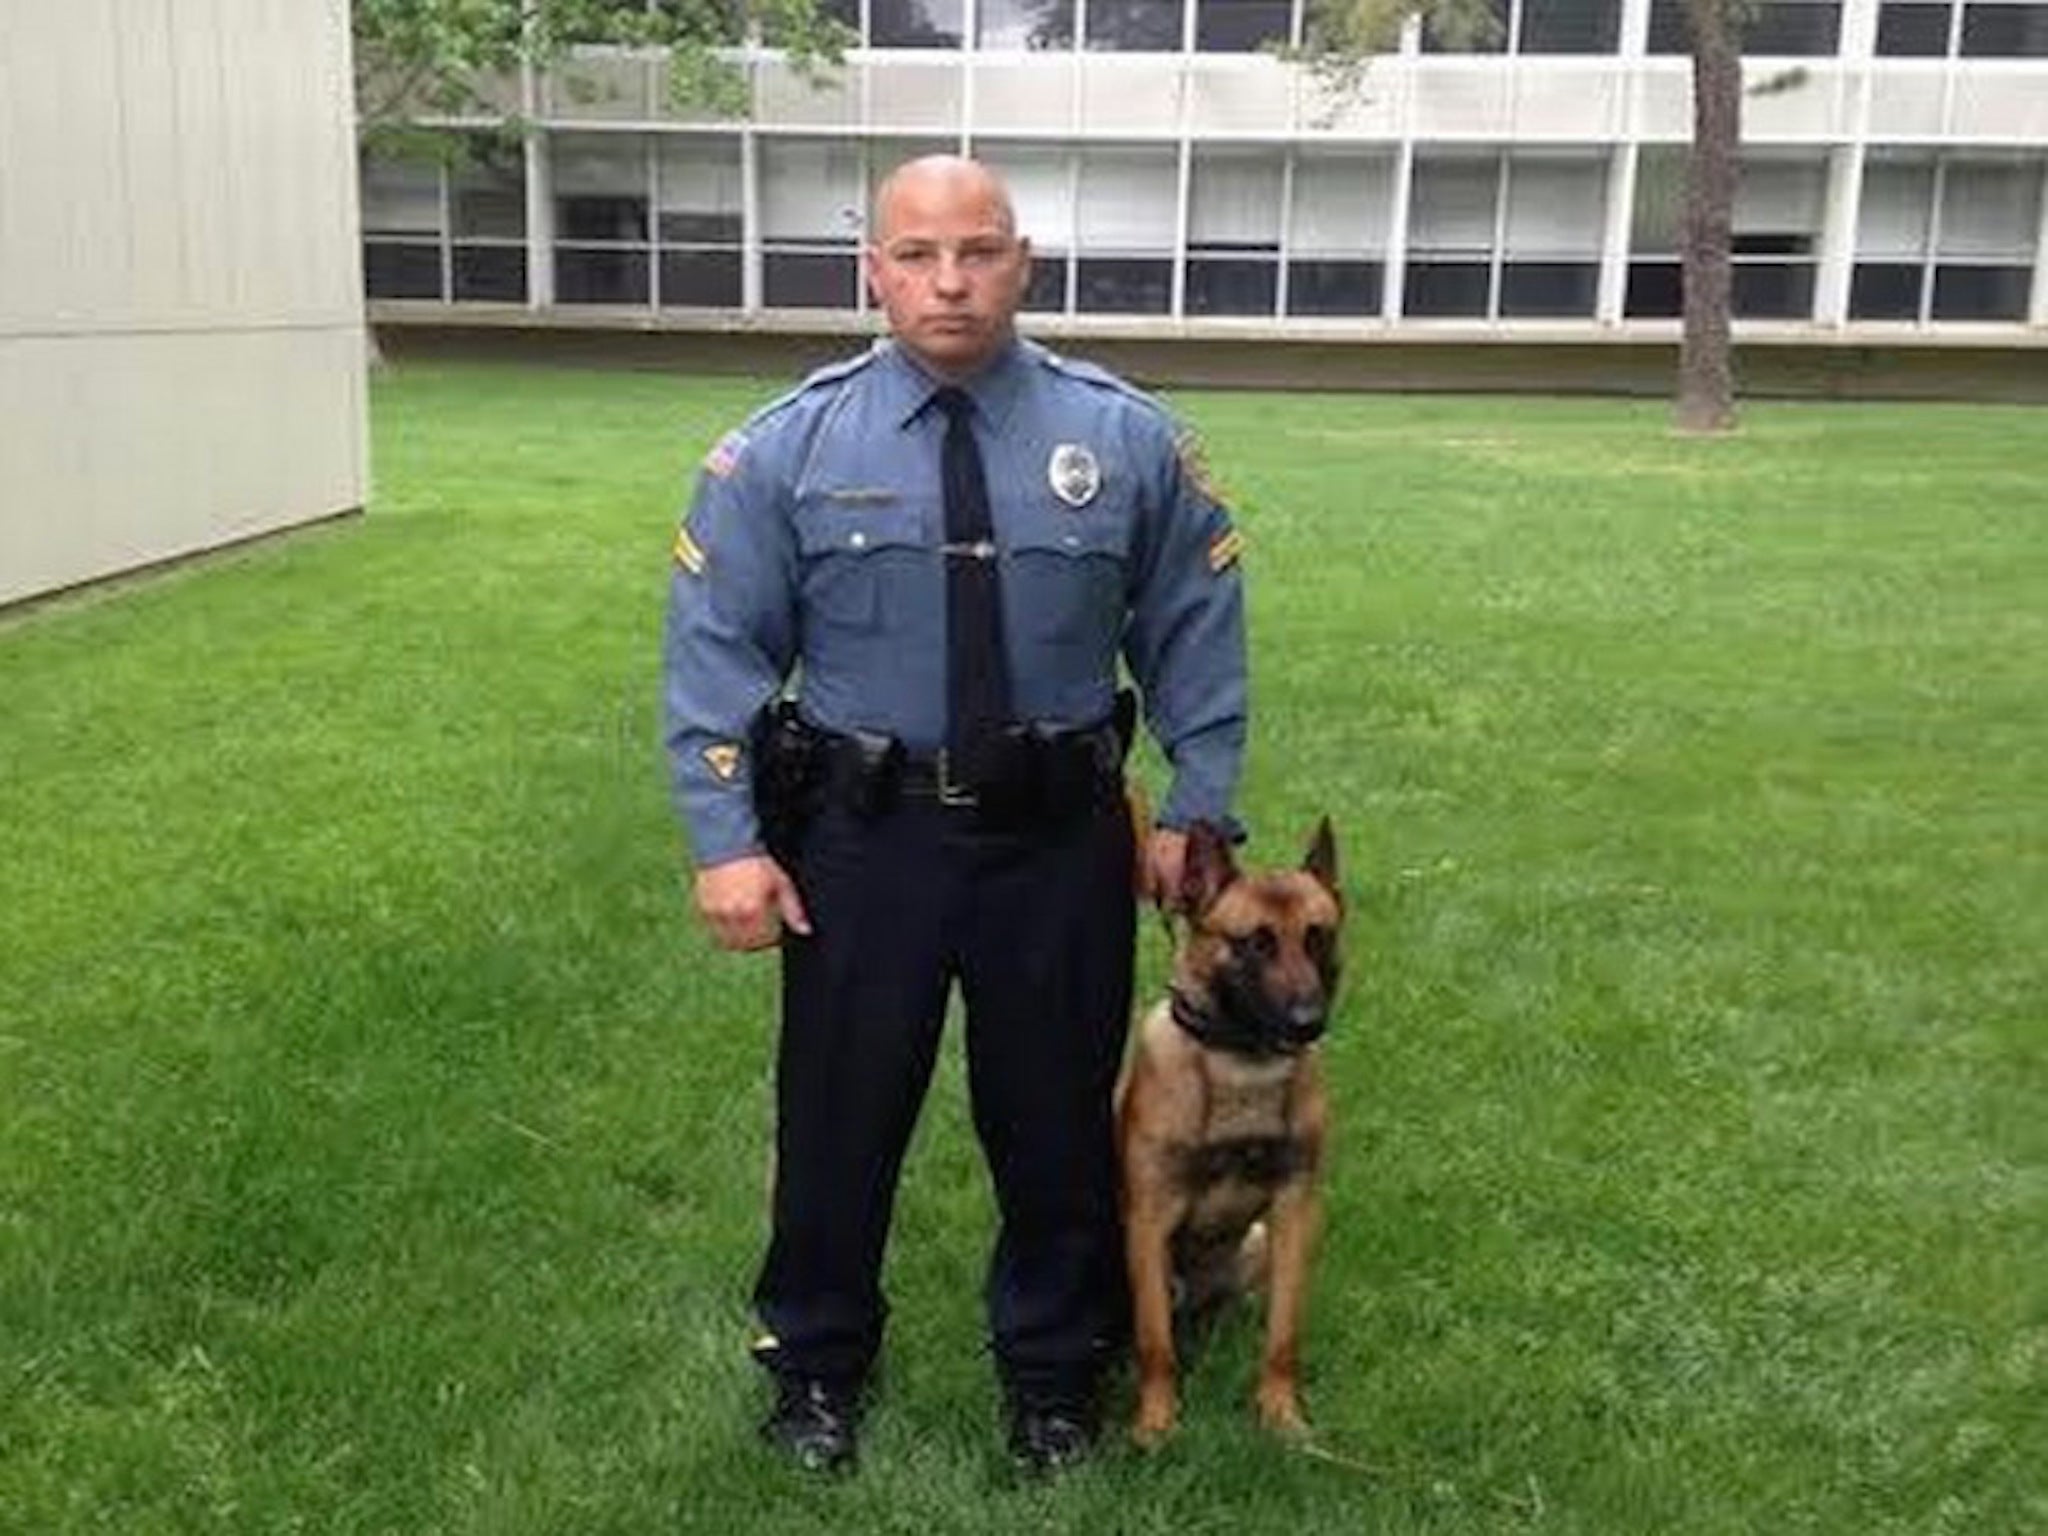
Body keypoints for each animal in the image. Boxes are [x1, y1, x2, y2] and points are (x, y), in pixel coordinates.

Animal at [1122, 823, 1343, 1449]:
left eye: (1317, 937)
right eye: (1254, 944)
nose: (1308, 1023)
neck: (1240, 1067)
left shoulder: (1293, 1212)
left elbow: (1283, 1336)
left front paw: (1280, 1414)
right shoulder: (1148, 1221)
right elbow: (1155, 1343)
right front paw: (1156, 1423)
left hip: (1259, 1241)